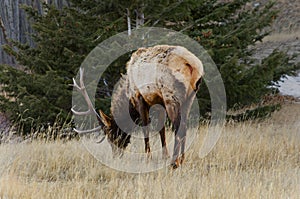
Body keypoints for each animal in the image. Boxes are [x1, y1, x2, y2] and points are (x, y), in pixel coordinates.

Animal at [72, 44, 204, 168]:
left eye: (111, 136)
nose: (115, 156)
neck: (128, 97)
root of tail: (193, 65)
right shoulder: (158, 102)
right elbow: (161, 130)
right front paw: (164, 156)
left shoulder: (140, 98)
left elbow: (146, 129)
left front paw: (148, 159)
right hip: (190, 97)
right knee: (184, 126)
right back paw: (181, 159)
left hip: (171, 95)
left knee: (178, 127)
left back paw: (174, 163)